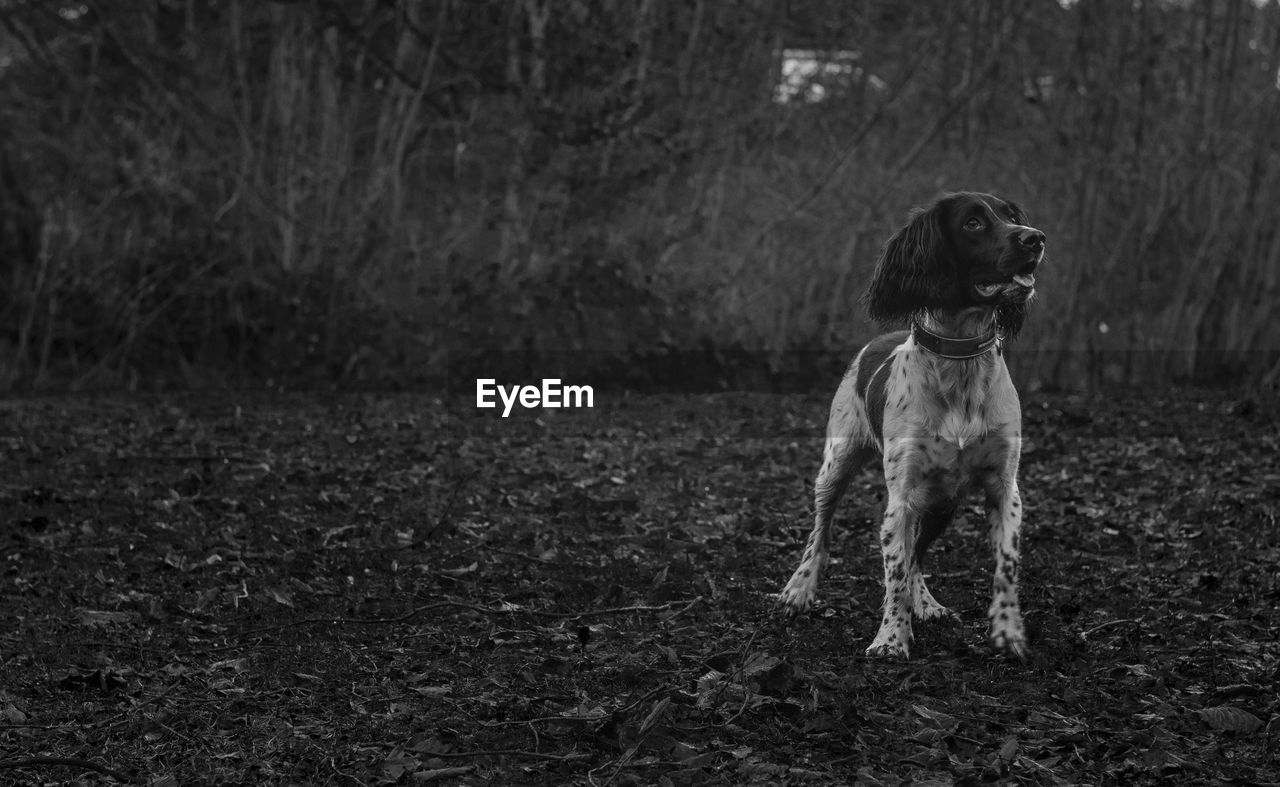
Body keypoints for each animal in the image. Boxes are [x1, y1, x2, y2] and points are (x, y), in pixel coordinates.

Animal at [778, 190, 1039, 660]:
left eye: (1012, 216)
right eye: (973, 223)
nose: (1035, 239)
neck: (959, 360)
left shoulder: (1004, 489)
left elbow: (1004, 567)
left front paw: (1008, 632)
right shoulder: (901, 497)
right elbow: (894, 571)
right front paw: (891, 640)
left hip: (943, 502)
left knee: (918, 552)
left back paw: (927, 603)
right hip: (835, 467)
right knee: (820, 534)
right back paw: (799, 590)